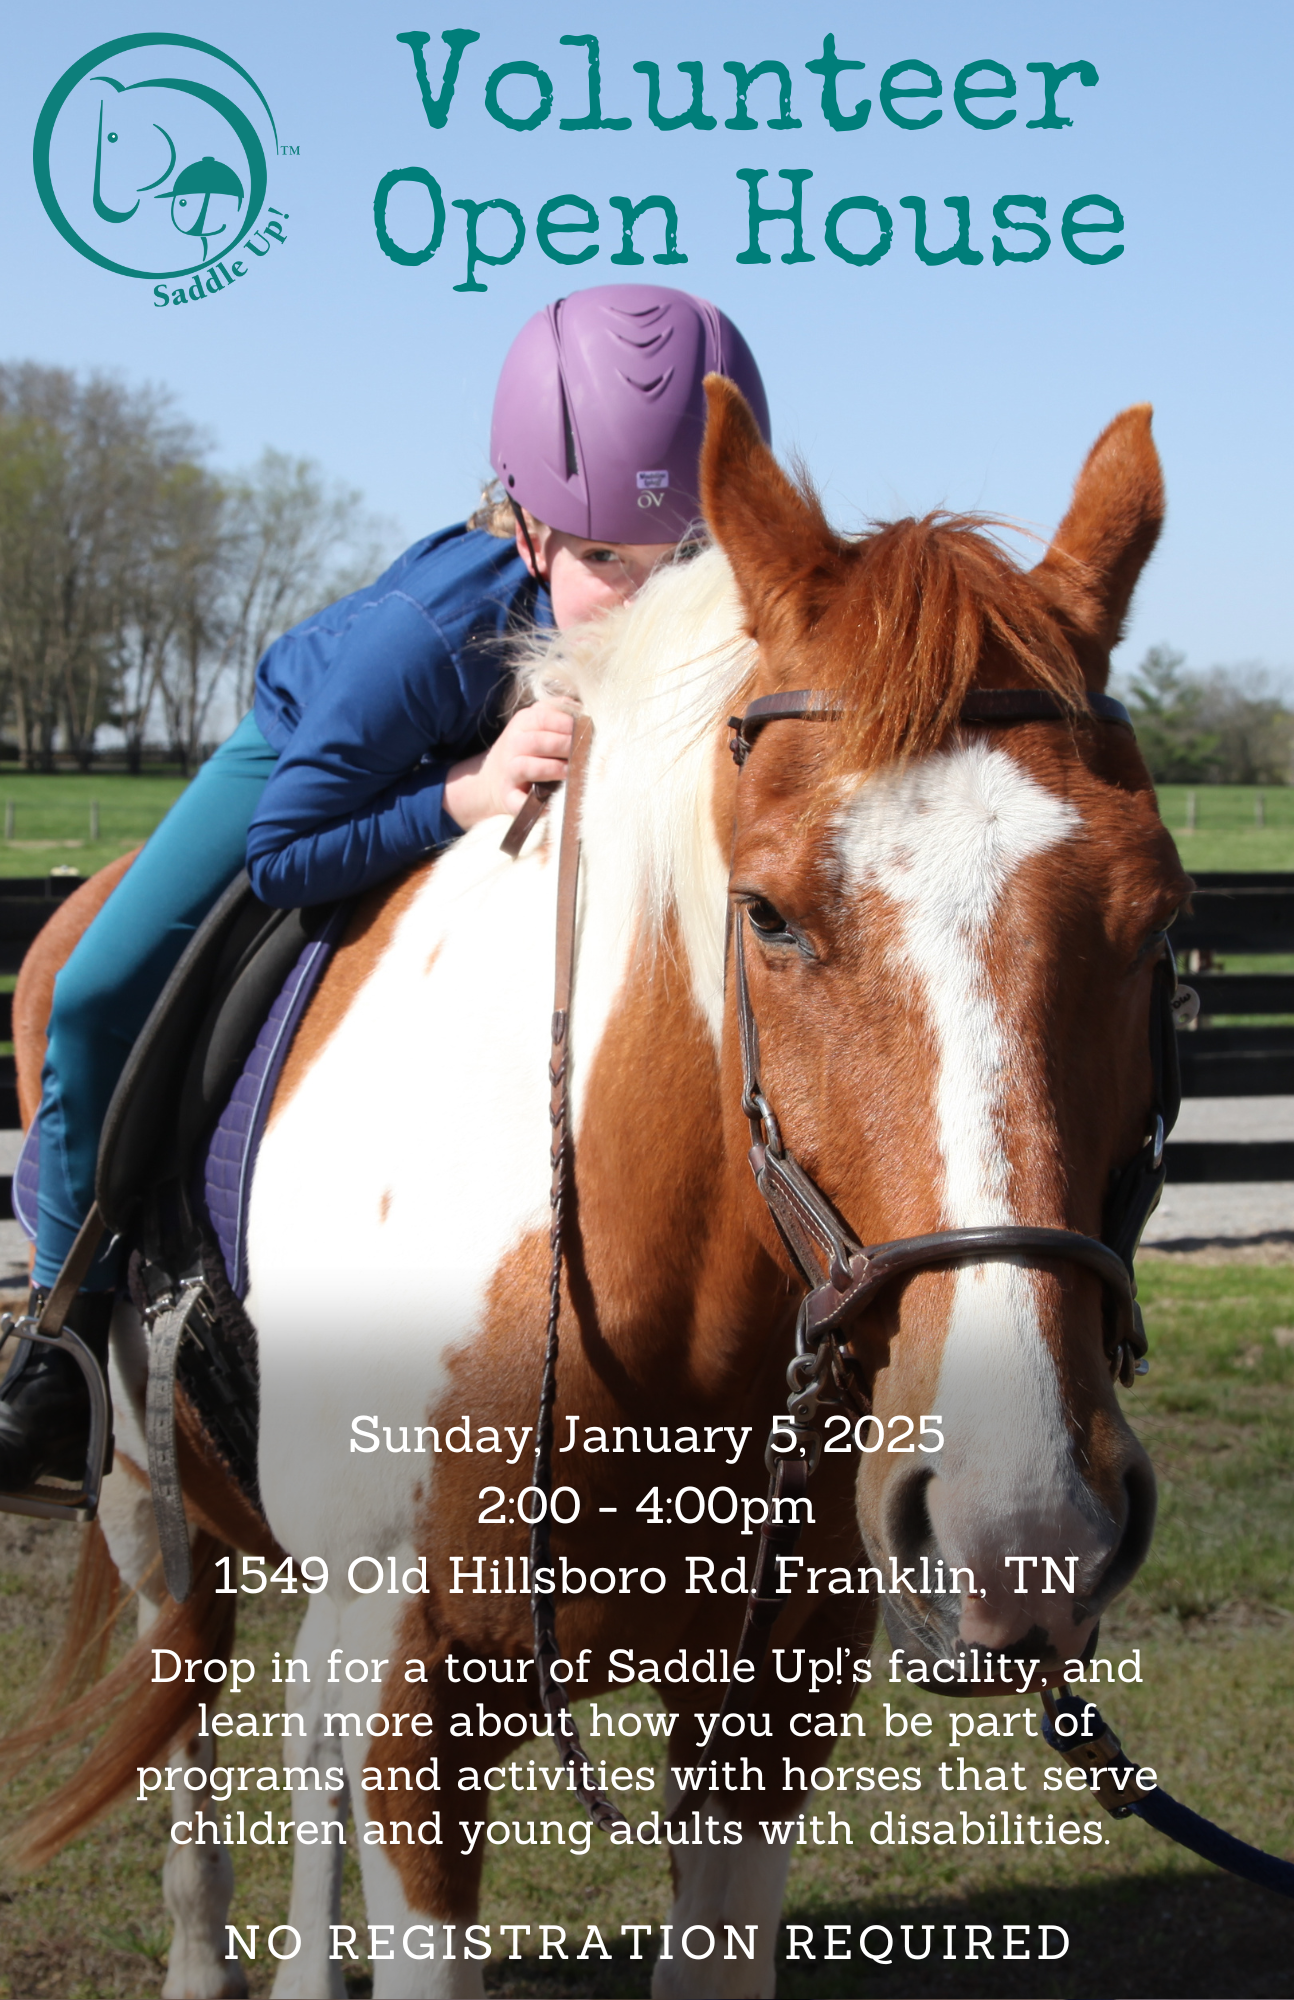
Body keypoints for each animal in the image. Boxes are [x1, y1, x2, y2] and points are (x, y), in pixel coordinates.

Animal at [2, 378, 1192, 2000]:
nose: (1024, 1515)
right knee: (189, 1711)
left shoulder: (766, 1703)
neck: (633, 1288)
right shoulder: (419, 1703)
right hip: (149, 1503)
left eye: (1158, 923)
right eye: (768, 913)